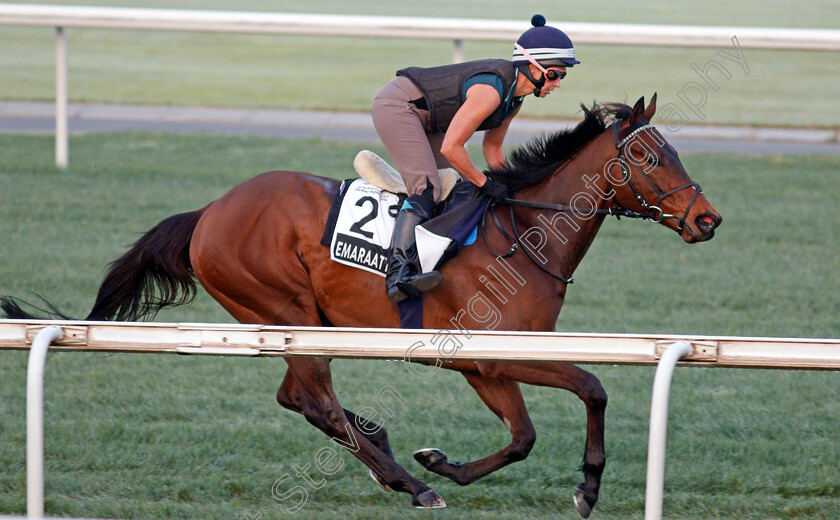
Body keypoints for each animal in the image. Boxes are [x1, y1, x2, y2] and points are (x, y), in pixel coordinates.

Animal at [1, 94, 720, 516]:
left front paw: (448, 462)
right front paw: (582, 484)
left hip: (297, 322)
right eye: (650, 154)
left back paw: (387, 453)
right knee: (313, 399)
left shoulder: (491, 365)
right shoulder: (491, 357)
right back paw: (407, 481)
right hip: (286, 312)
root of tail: (209, 212)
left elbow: (524, 435)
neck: (522, 233)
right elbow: (587, 392)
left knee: (297, 397)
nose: (707, 220)